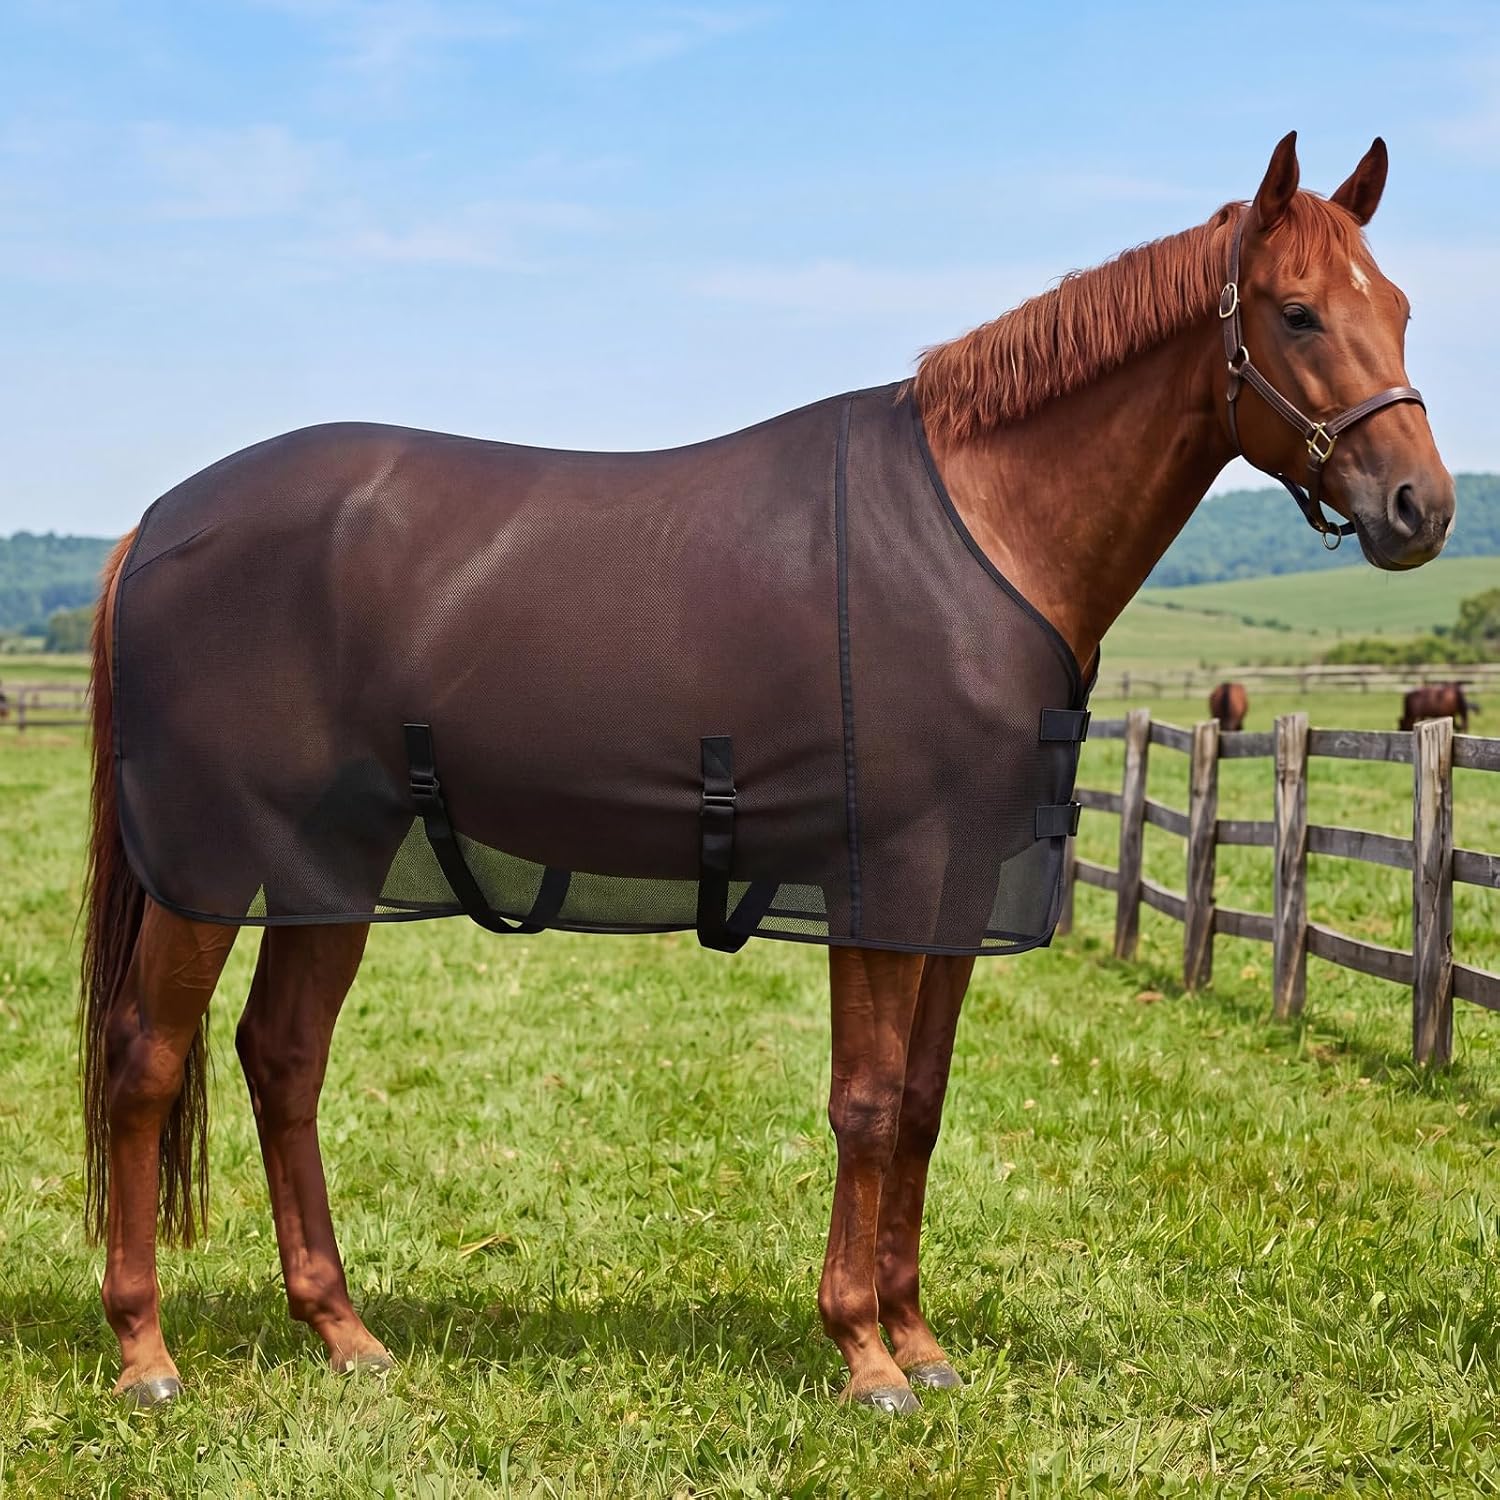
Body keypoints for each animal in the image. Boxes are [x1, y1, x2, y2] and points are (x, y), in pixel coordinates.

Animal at [80, 132, 1454, 1413]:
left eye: (1398, 307)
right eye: (1296, 311)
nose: (1421, 508)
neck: (978, 534)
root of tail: (158, 523)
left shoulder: (959, 884)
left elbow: (922, 1101)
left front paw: (918, 1341)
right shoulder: (881, 874)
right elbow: (867, 1100)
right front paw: (863, 1354)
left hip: (338, 853)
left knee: (282, 1056)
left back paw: (344, 1333)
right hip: (213, 861)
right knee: (147, 1059)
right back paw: (144, 1353)